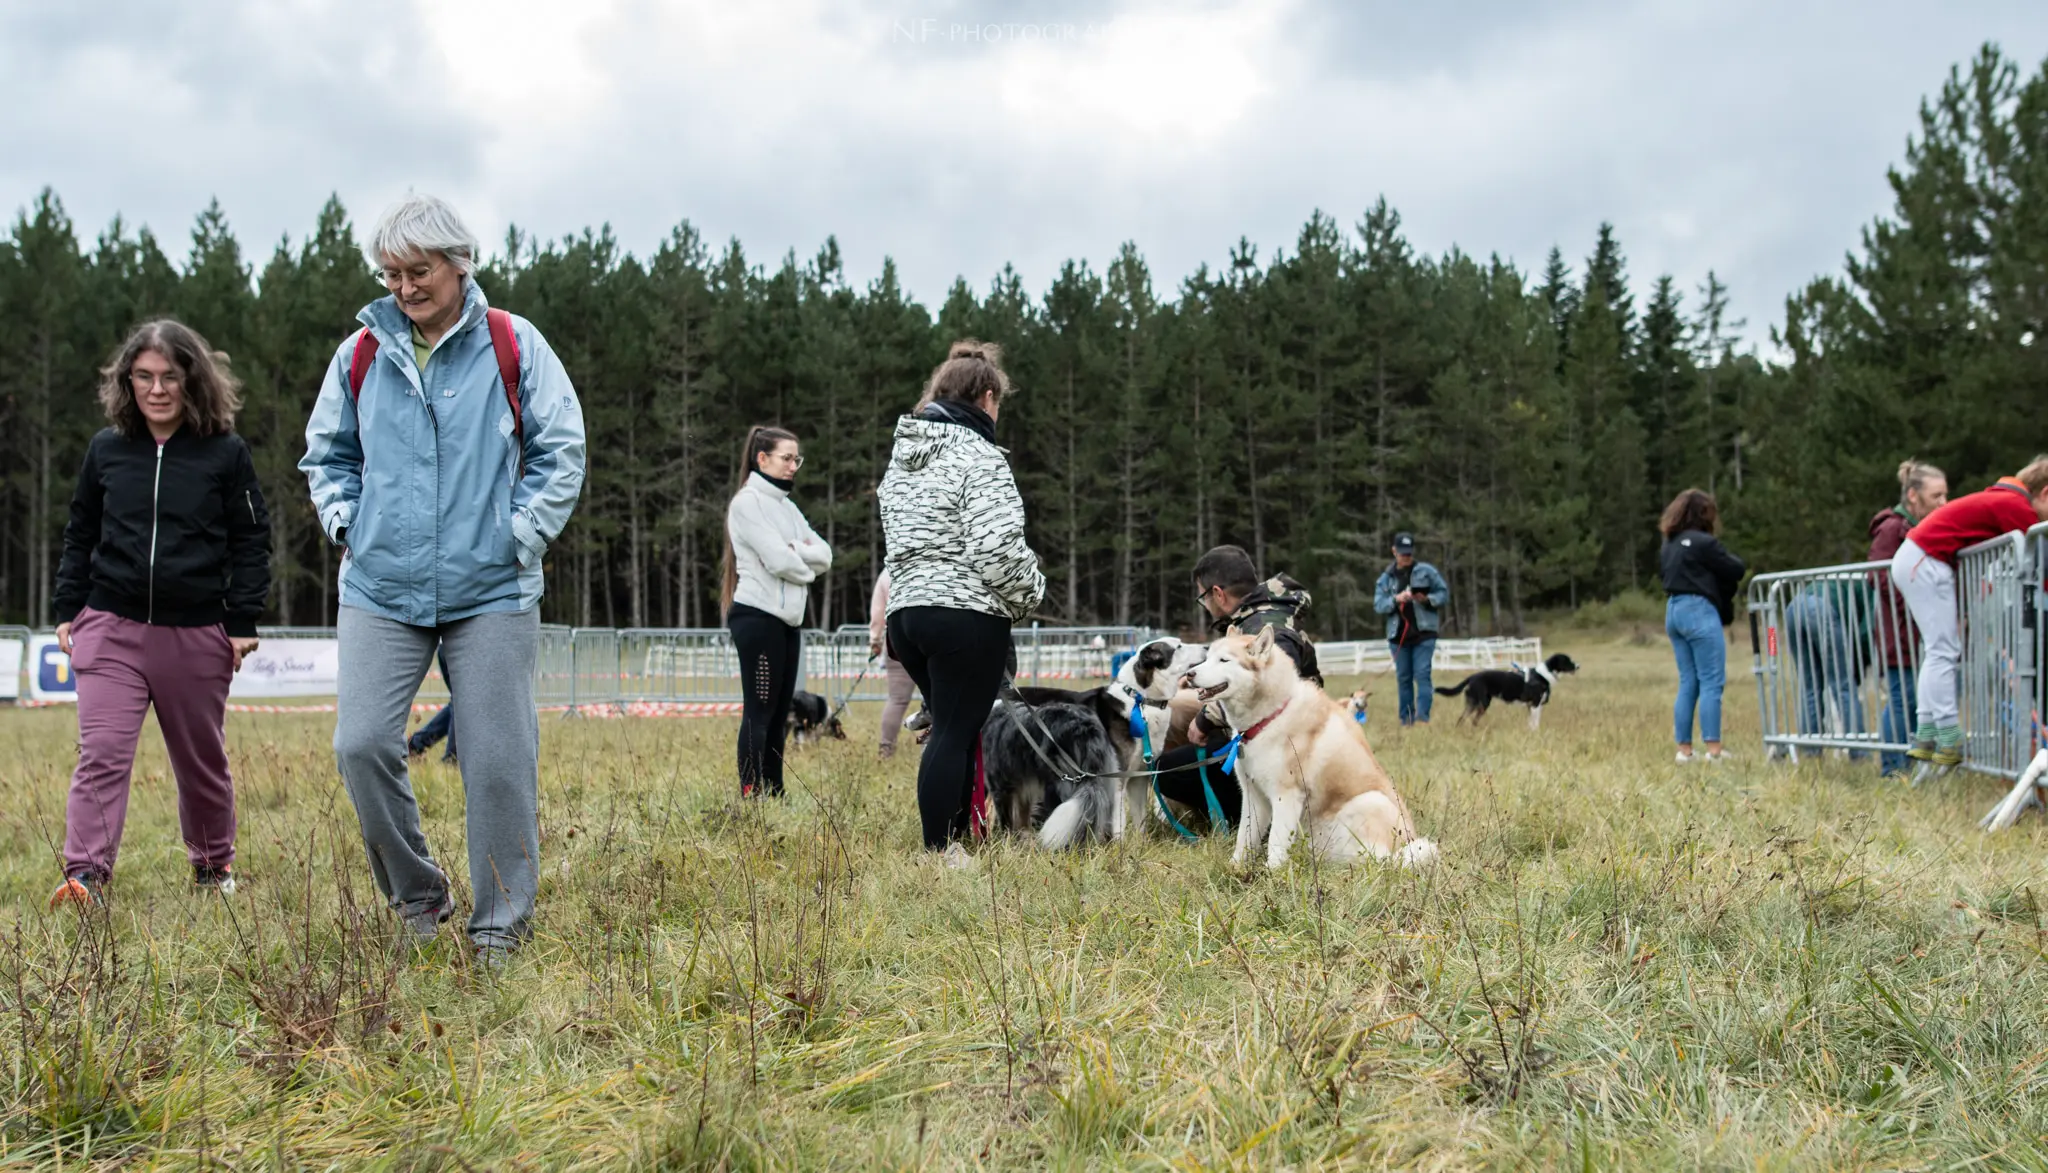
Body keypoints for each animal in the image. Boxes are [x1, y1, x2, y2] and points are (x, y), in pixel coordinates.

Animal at [987, 679, 1179, 847]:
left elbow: (1006, 823)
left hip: (1062, 783)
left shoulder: (1000, 787)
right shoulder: (1024, 789)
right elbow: (1022, 821)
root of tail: (1086, 729)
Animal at [1433, 655, 1572, 728]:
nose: (1576, 666)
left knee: (1463, 719)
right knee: (1472, 719)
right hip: (1482, 704)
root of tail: (1472, 677)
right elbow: (1534, 722)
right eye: (1567, 660)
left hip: (1474, 703)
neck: (1543, 675)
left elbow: (1531, 722)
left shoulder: (1531, 706)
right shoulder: (1535, 704)